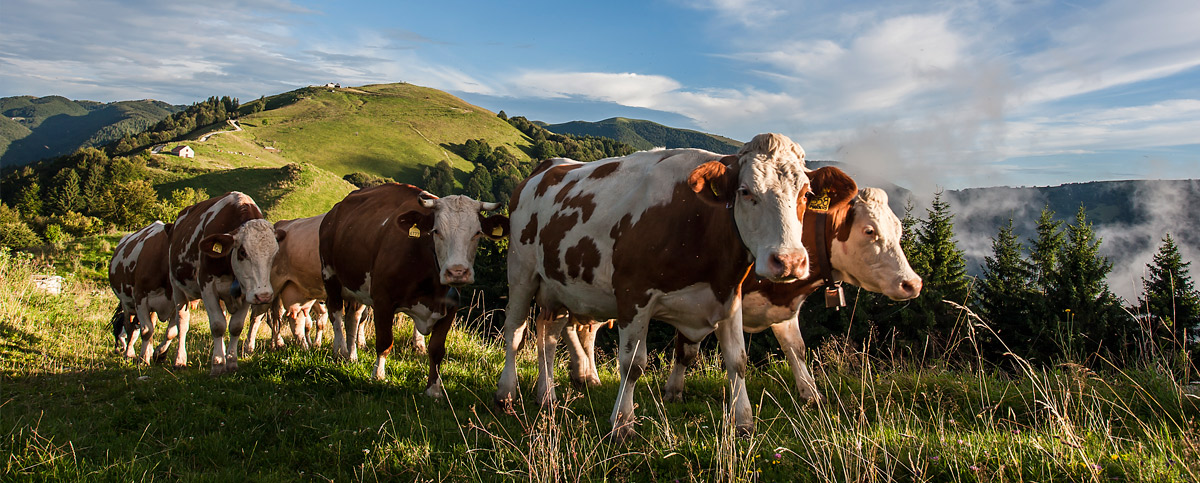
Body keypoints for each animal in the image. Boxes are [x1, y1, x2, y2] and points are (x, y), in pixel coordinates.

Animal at [109, 221, 176, 360]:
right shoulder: (140, 297)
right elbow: (146, 330)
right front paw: (143, 358)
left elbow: (171, 332)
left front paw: (159, 353)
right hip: (127, 302)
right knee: (129, 327)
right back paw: (129, 353)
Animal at [166, 191, 283, 372]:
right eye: (242, 252)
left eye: (275, 253)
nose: (264, 296)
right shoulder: (207, 286)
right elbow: (217, 325)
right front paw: (218, 363)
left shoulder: (248, 291)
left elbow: (235, 326)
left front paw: (232, 361)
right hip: (177, 287)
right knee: (182, 322)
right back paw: (180, 359)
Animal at [319, 182, 506, 398]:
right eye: (436, 231)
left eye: (477, 233)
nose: (457, 272)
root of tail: (334, 211)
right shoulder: (383, 300)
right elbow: (385, 342)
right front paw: (378, 375)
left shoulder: (450, 309)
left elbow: (437, 350)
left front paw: (434, 389)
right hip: (330, 275)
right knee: (336, 314)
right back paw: (340, 351)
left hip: (357, 285)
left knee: (353, 318)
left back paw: (351, 356)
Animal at [559, 169, 916, 403]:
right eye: (869, 231)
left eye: (899, 229)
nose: (912, 283)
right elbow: (688, 350)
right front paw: (674, 391)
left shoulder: (781, 307)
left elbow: (796, 349)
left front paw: (811, 394)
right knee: (568, 326)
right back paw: (583, 374)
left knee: (582, 330)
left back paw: (586, 375)